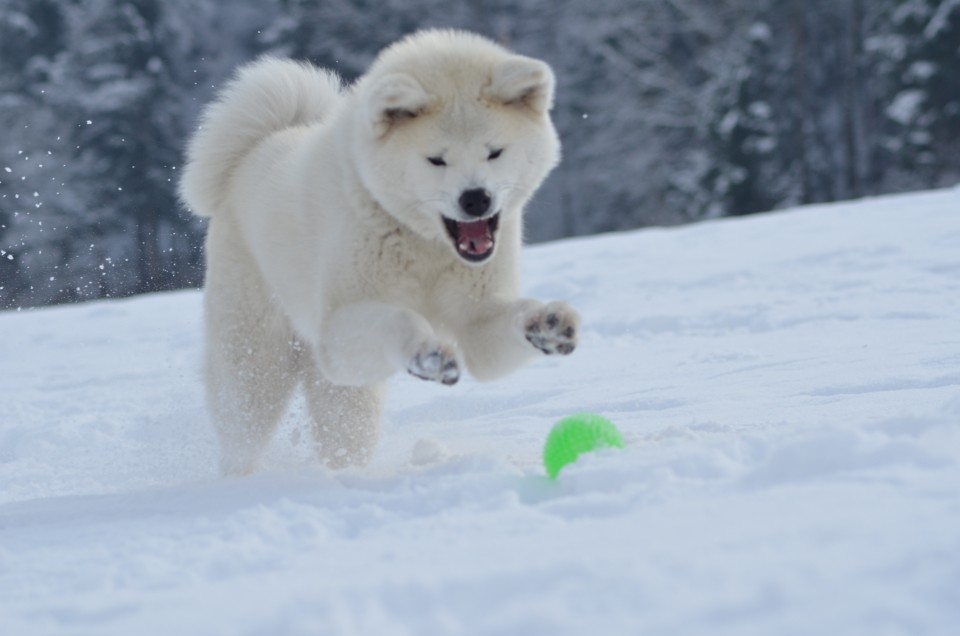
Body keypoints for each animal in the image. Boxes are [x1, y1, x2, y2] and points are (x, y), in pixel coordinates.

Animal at [182, 31, 576, 476]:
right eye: (436, 159)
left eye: (494, 152)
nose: (476, 198)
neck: (425, 244)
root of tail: (249, 154)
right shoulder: (340, 328)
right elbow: (400, 318)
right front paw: (429, 354)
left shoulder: (476, 311)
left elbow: (497, 331)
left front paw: (547, 324)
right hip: (257, 357)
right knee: (243, 425)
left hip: (340, 393)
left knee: (343, 436)